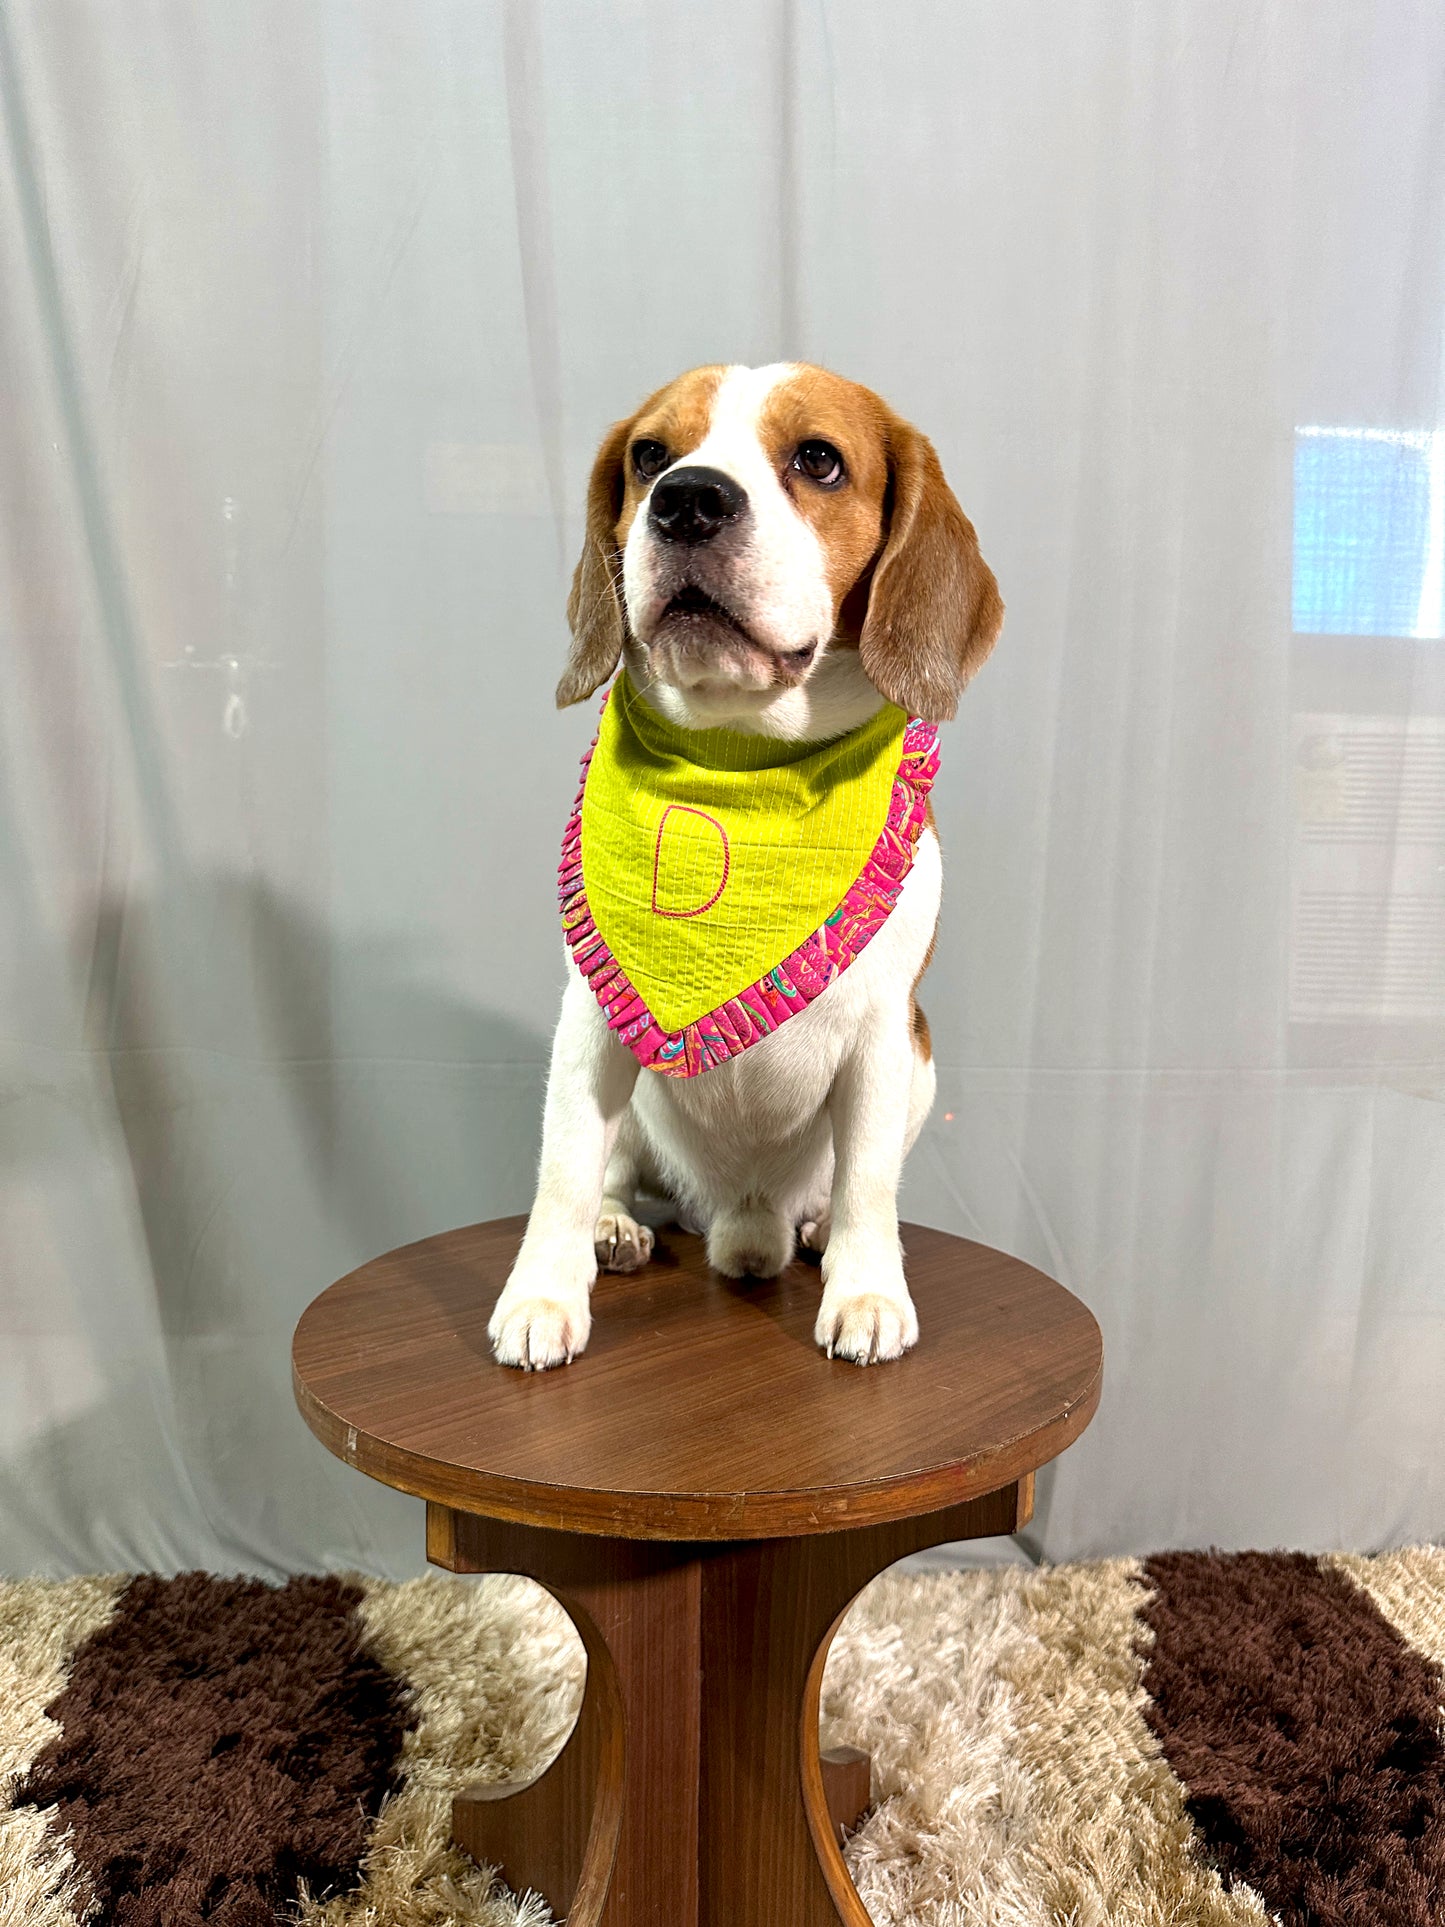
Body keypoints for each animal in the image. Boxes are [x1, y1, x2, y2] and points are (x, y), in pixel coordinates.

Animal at [493, 364, 1001, 1372]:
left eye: (818, 460)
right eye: (649, 454)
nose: (685, 498)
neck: (741, 758)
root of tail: (737, 1213)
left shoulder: (884, 1034)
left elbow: (868, 1186)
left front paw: (866, 1288)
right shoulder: (591, 1016)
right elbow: (562, 1171)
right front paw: (540, 1295)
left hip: (920, 1064)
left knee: (837, 1190)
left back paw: (813, 1231)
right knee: (613, 1172)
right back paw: (616, 1225)